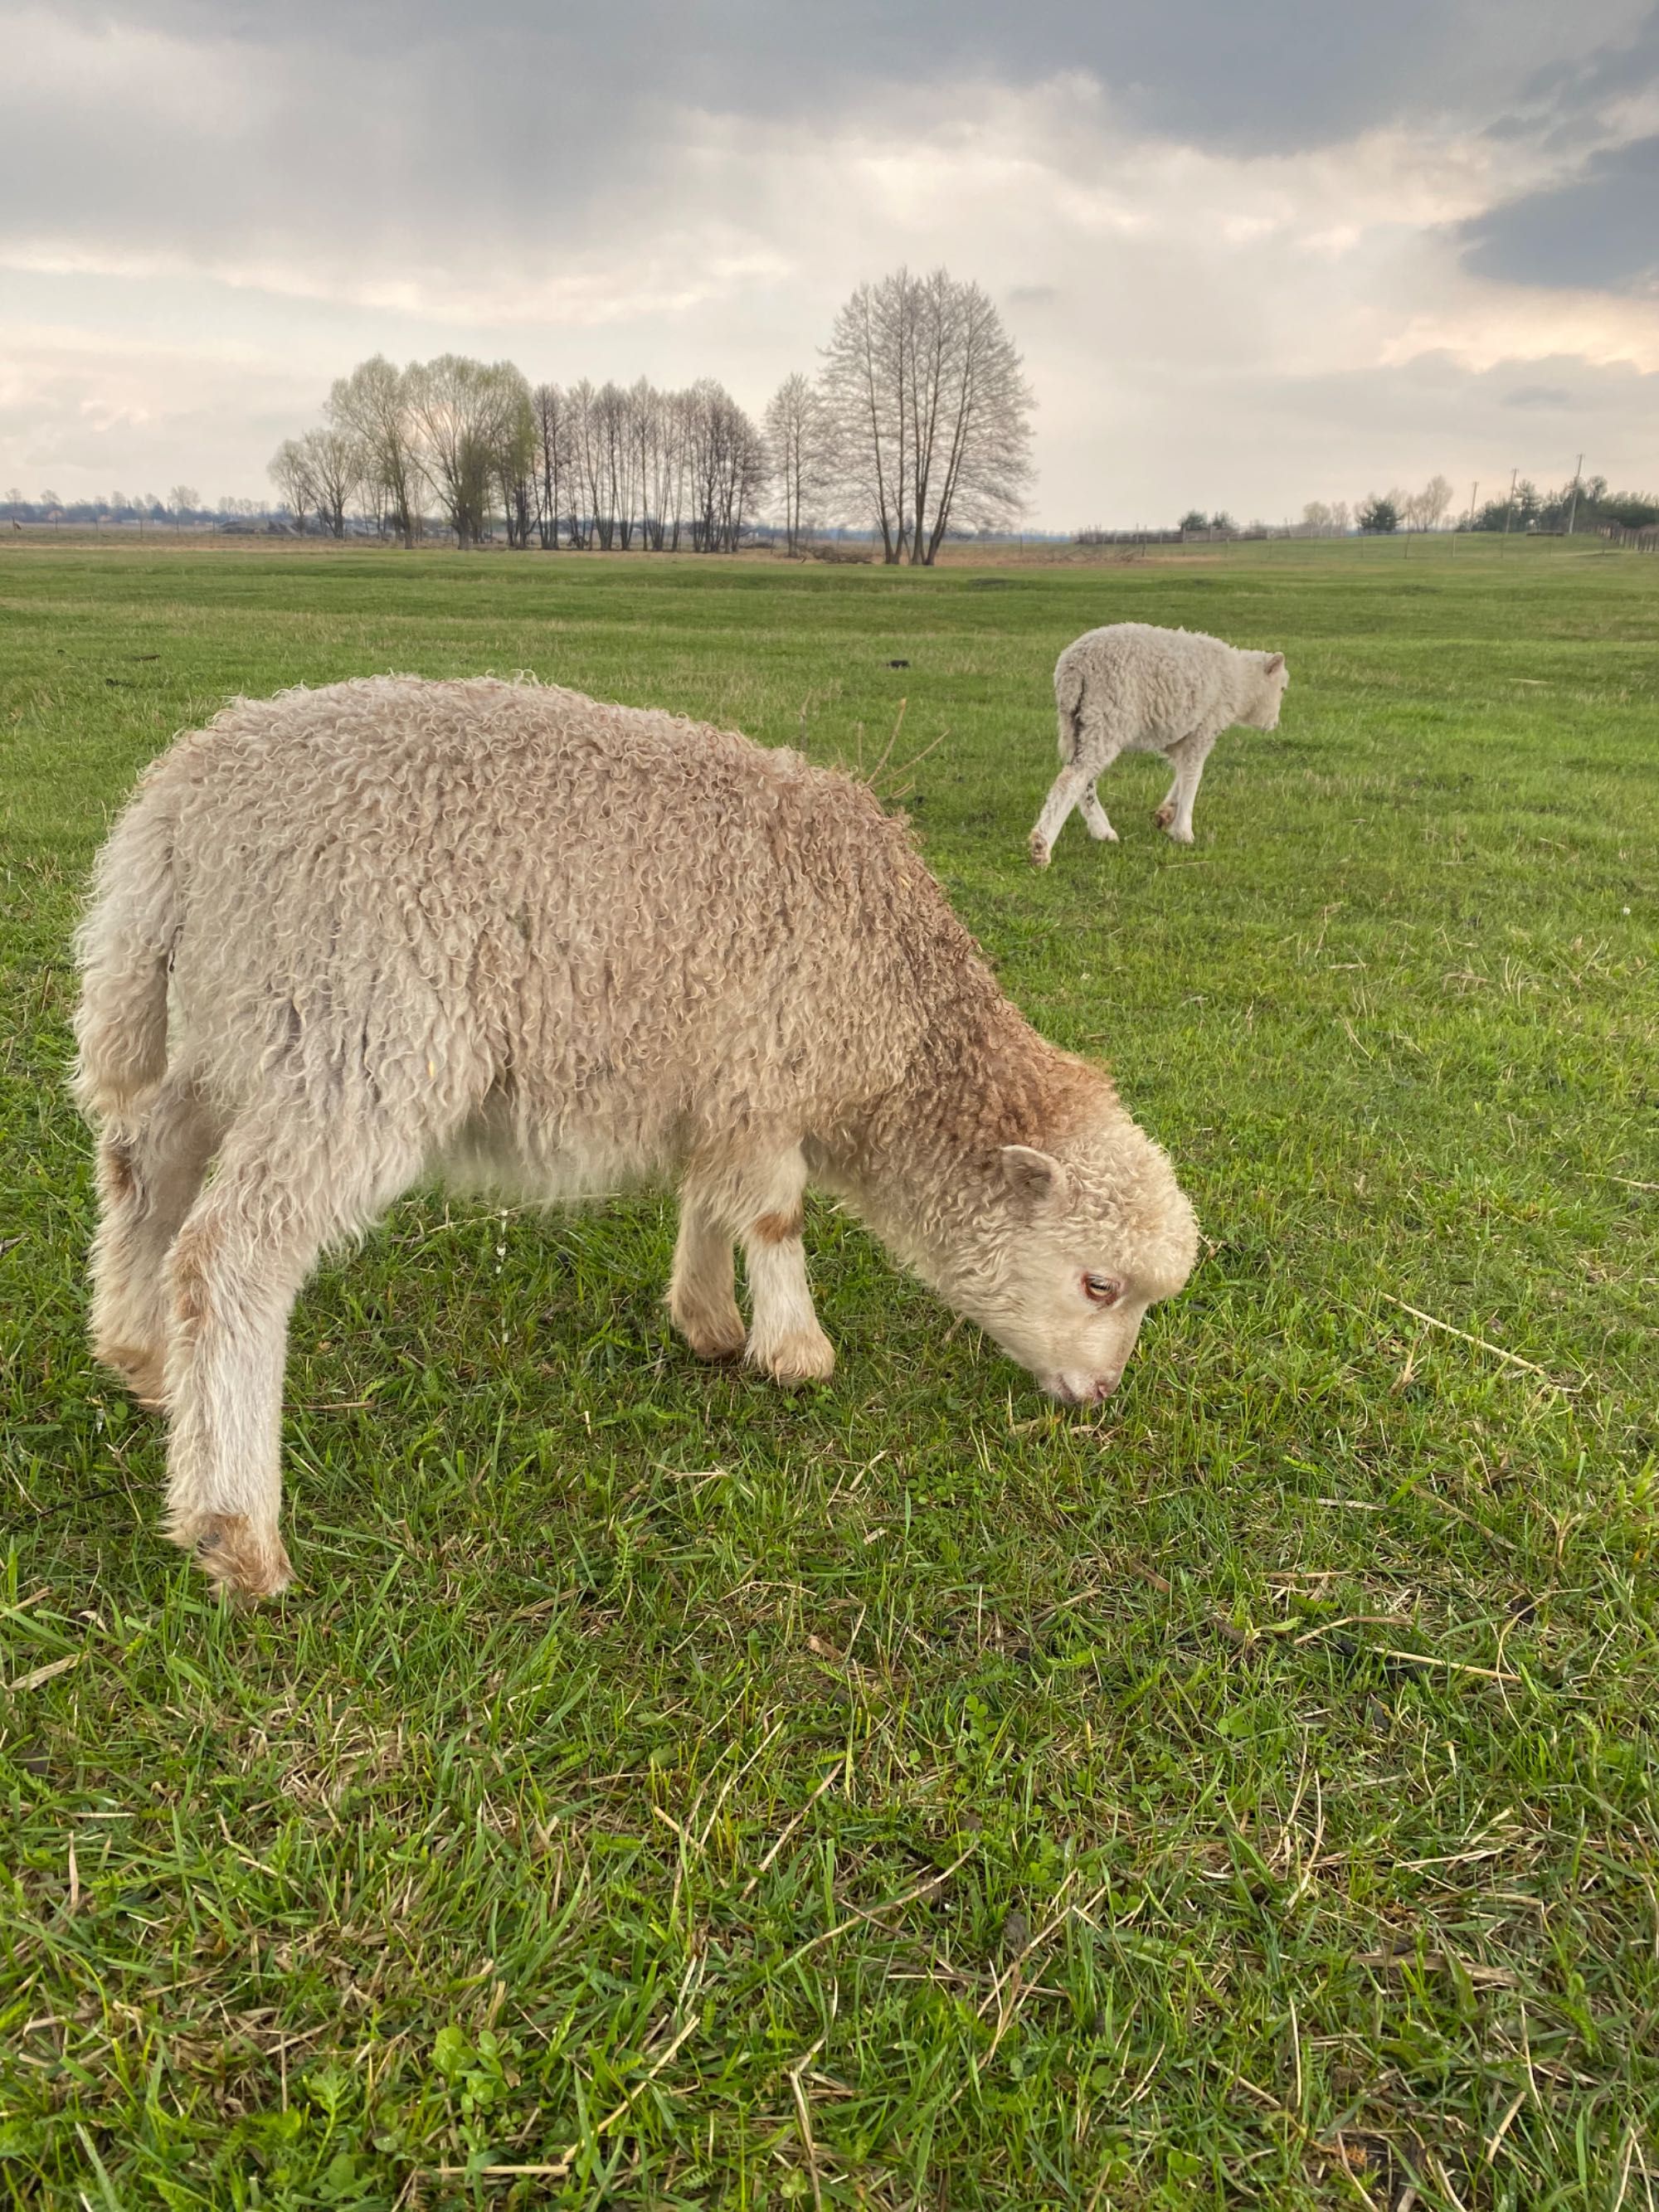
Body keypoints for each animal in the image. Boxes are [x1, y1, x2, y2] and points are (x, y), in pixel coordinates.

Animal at [78, 672, 1203, 1592]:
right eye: (1096, 1285)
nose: (1100, 1392)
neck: (897, 1025)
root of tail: (185, 798)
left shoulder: (721, 1087)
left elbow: (711, 1199)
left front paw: (707, 1322)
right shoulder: (768, 1068)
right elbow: (777, 1217)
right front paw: (796, 1352)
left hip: (227, 1017)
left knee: (144, 1167)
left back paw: (142, 1359)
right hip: (357, 1035)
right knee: (231, 1257)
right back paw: (237, 1529)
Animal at [1035, 628, 1292, 867]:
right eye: (1282, 689)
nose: (1274, 724)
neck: (1241, 683)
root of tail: (1074, 668)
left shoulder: (1180, 736)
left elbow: (1183, 772)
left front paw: (1166, 813)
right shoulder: (1203, 729)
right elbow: (1193, 776)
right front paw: (1184, 832)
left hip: (1076, 723)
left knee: (1083, 780)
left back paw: (1102, 830)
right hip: (1106, 716)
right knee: (1072, 779)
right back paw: (1041, 847)